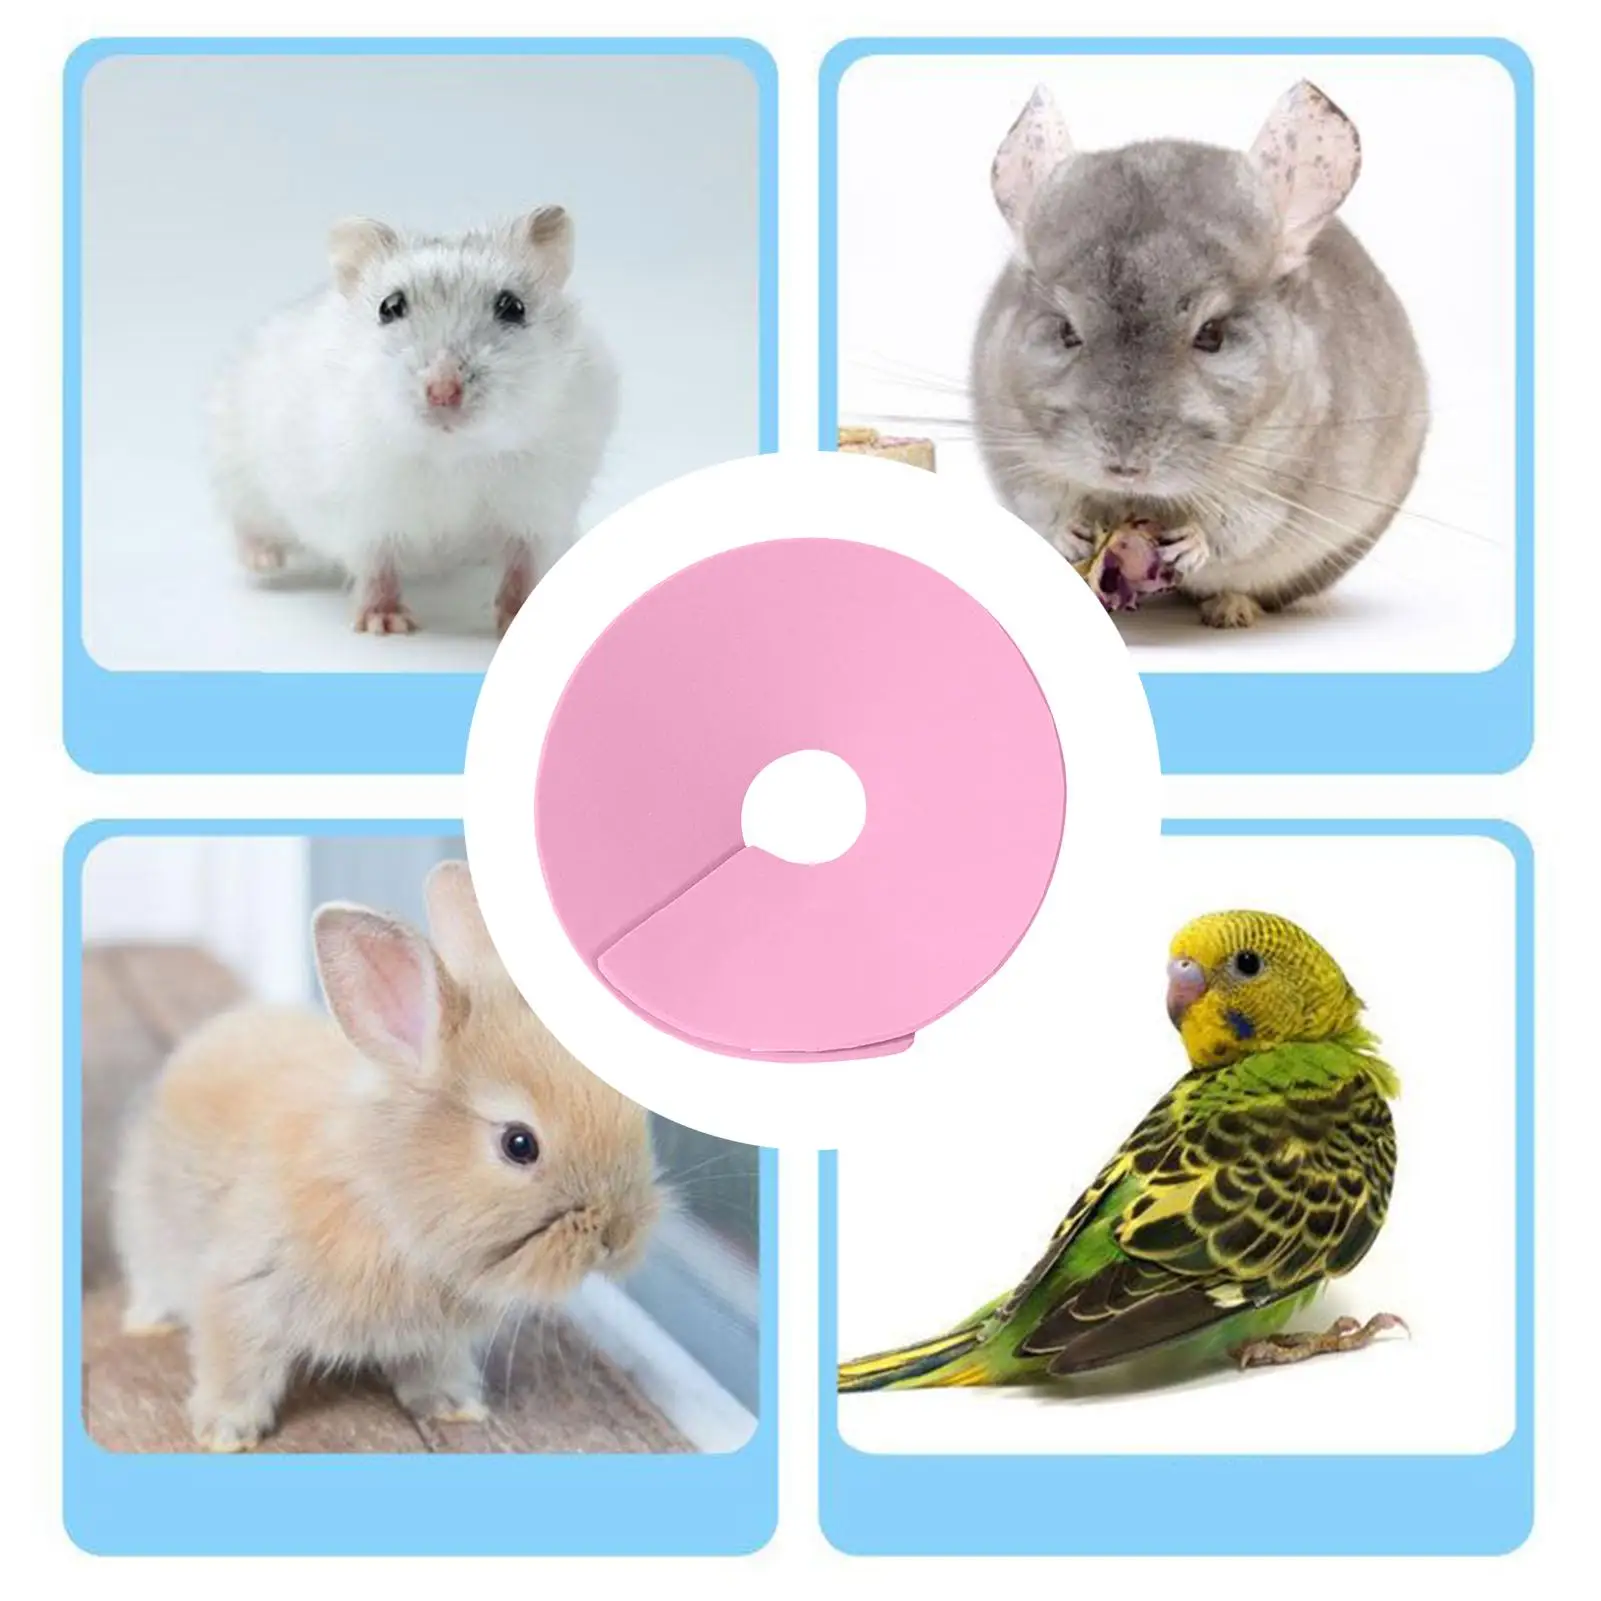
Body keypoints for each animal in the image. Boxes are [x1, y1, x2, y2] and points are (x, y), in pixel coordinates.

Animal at [110, 860, 660, 1452]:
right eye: (519, 1144)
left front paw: (455, 1409)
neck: (386, 1200)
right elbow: (235, 1365)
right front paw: (225, 1433)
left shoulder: (434, 1342)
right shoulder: (242, 1292)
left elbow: (432, 1372)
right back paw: (148, 1323)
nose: (618, 1236)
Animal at [209, 208, 618, 636]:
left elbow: (523, 568)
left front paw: (517, 617)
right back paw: (265, 563)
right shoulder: (364, 515)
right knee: (247, 526)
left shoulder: (538, 511)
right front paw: (386, 624)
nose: (443, 392)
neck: (453, 455)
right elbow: (377, 568)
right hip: (238, 473)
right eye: (389, 307)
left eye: (513, 307)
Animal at [971, 80, 1429, 627]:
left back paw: (1230, 610)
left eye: (1212, 335)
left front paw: (1189, 544)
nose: (1125, 469)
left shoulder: (1280, 478)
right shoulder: (1013, 450)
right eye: (1065, 331)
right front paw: (1071, 532)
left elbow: (1236, 526)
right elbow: (1041, 500)